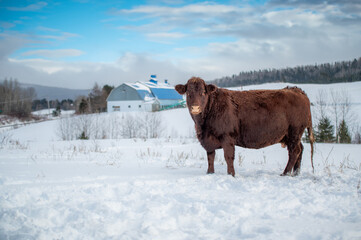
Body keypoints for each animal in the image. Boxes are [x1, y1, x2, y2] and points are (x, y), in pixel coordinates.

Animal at [176, 77, 314, 176]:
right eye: (188, 93)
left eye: (203, 92)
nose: (195, 108)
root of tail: (295, 89)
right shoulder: (208, 141)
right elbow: (210, 158)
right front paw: (210, 173)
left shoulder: (227, 137)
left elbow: (228, 157)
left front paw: (231, 175)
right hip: (292, 135)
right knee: (300, 149)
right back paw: (295, 173)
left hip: (294, 132)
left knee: (294, 151)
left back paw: (285, 173)